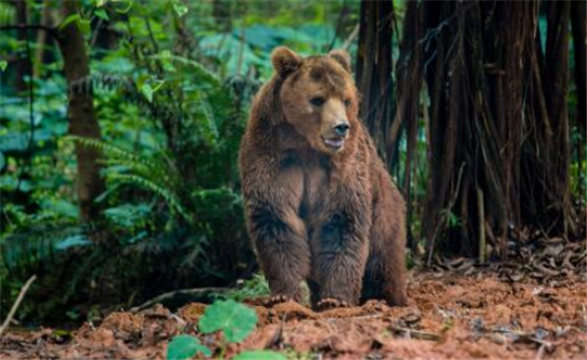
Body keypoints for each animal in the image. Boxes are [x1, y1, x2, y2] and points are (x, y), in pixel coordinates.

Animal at [239, 45, 408, 310]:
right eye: (317, 99)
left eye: (347, 99)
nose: (341, 127)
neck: (305, 144)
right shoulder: (271, 155)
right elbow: (277, 219)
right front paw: (283, 294)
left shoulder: (343, 166)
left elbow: (341, 221)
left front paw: (336, 299)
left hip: (385, 215)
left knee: (384, 263)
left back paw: (387, 298)